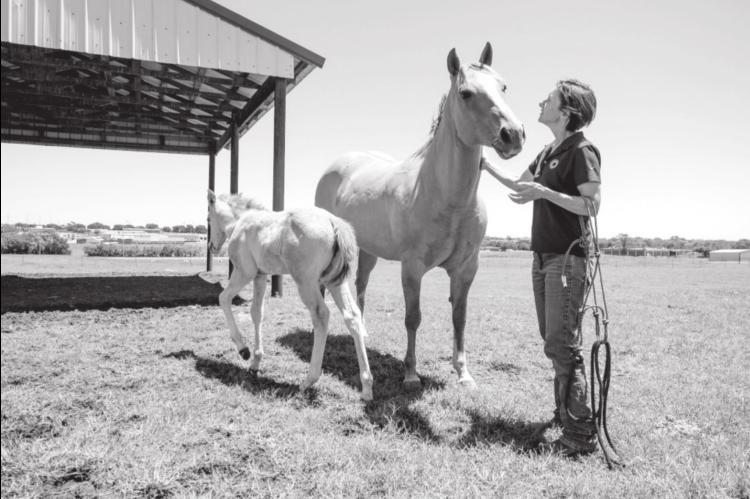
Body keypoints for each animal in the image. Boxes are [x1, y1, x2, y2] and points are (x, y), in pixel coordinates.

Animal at [207, 190, 373, 401]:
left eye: (208, 218)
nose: (211, 246)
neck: (239, 222)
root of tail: (333, 221)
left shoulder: (244, 272)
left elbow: (223, 298)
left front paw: (243, 349)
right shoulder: (261, 275)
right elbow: (256, 312)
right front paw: (255, 362)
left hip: (306, 282)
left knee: (321, 315)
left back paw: (308, 380)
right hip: (334, 281)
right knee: (352, 316)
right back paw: (367, 387)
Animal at [315, 43, 524, 389]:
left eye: (504, 86)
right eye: (466, 93)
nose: (514, 135)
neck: (446, 198)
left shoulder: (467, 269)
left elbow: (460, 317)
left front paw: (463, 373)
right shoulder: (412, 268)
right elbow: (413, 318)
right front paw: (411, 374)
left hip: (368, 251)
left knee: (361, 288)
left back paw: (364, 334)